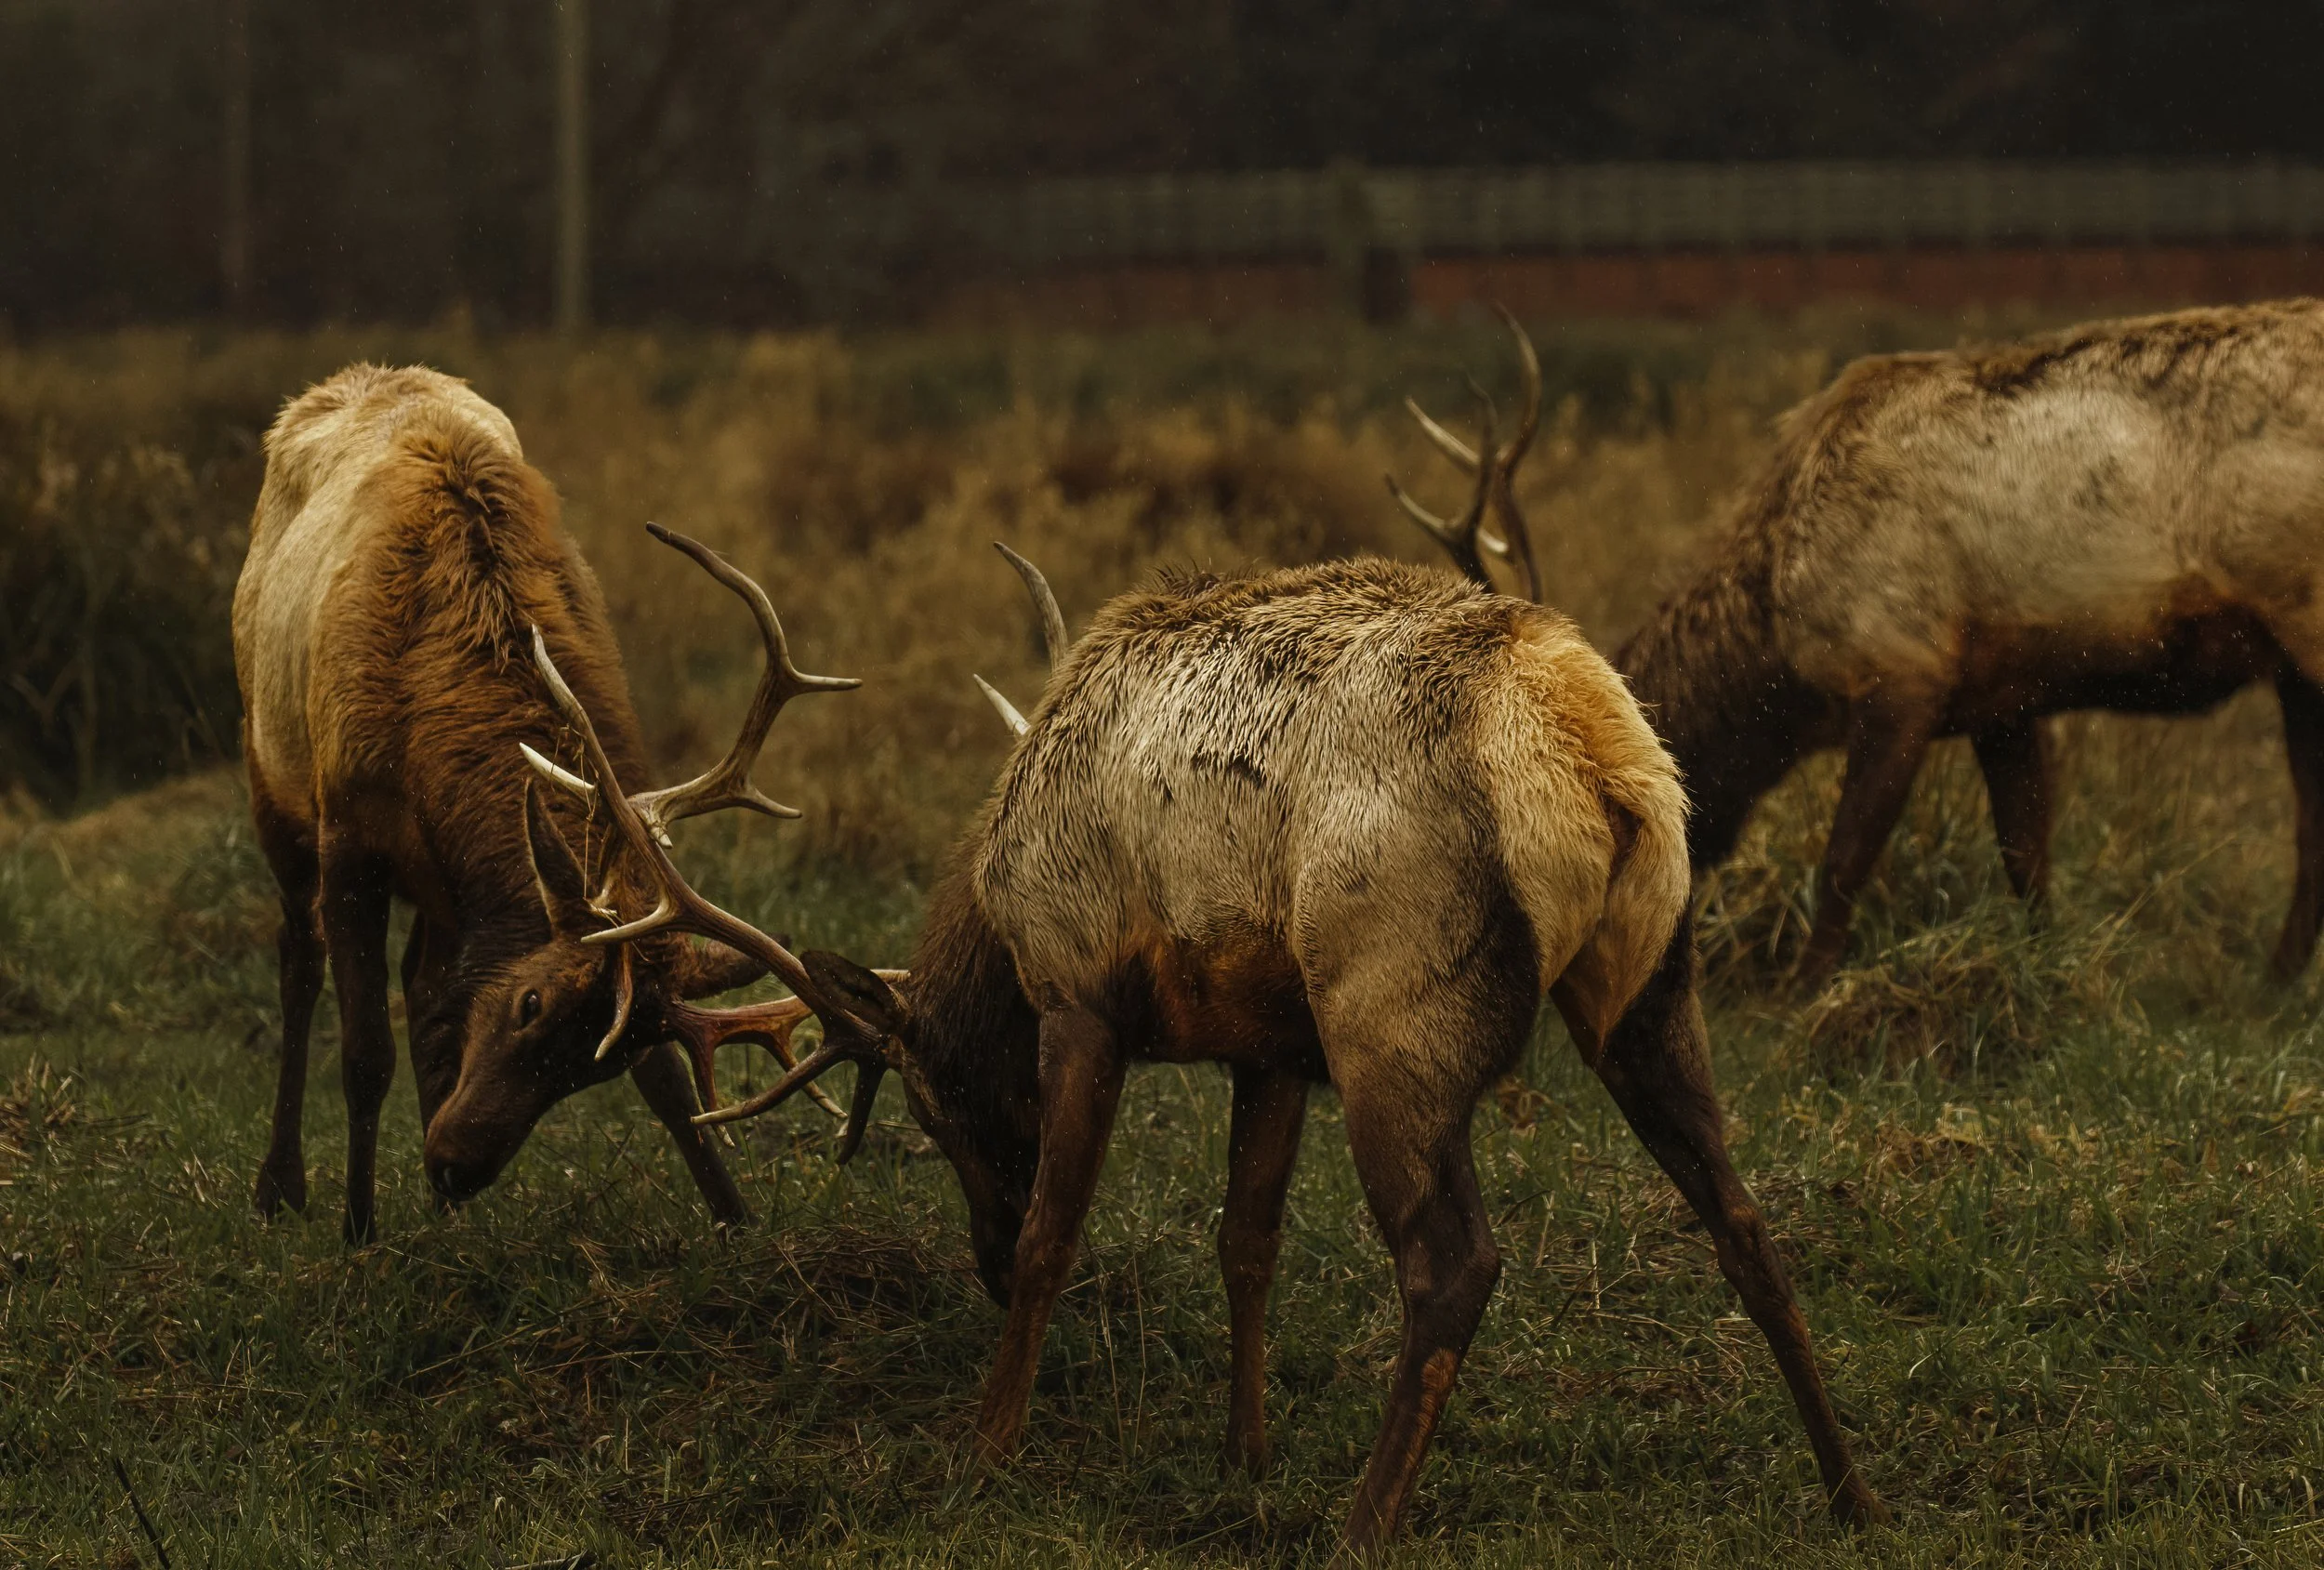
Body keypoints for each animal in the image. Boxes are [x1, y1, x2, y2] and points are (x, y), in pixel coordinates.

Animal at [231, 363, 857, 1241]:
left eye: (599, 1062)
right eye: (530, 1002)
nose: (453, 1163)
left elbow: (665, 1082)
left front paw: (733, 1215)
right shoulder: (349, 827)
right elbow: (362, 1053)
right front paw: (358, 1234)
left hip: (437, 884)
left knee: (424, 983)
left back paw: (437, 1218)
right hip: (270, 774)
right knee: (299, 958)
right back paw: (280, 1186)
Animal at [522, 528, 1888, 1550]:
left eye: (934, 1103)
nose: (968, 1259)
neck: (998, 902)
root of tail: (1597, 759)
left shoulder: (1082, 991)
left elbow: (1057, 1235)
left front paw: (985, 1448)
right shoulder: (1268, 1042)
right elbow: (1246, 1243)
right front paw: (1244, 1452)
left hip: (1392, 1013)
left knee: (1455, 1262)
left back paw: (1364, 1523)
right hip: (1651, 985)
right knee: (1740, 1215)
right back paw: (1850, 1491)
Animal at [1394, 300, 2324, 989]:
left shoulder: (1901, 667)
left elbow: (1843, 861)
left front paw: (1802, 996)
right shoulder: (2005, 698)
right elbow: (2027, 856)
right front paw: (2046, 973)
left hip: (2304, 615)